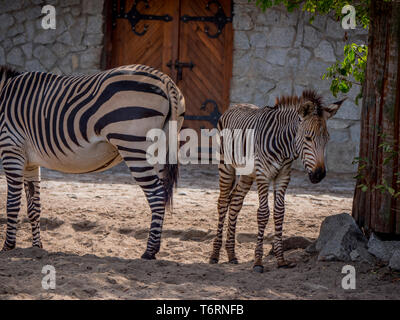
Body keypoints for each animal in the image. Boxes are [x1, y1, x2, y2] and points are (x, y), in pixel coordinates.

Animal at [0, 65, 186, 260]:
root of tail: (165, 80)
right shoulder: (30, 163)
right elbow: (34, 207)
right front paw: (37, 247)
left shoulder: (11, 150)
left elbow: (12, 204)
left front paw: (8, 247)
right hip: (160, 150)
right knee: (162, 193)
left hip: (133, 146)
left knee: (156, 195)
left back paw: (149, 251)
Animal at [211, 90, 346, 272]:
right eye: (308, 138)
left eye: (327, 139)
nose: (319, 175)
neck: (284, 147)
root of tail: (234, 106)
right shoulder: (263, 174)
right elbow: (263, 213)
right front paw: (258, 262)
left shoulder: (283, 176)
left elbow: (279, 212)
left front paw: (281, 260)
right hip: (225, 165)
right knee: (223, 202)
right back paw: (215, 255)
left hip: (247, 173)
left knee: (235, 202)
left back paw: (232, 254)